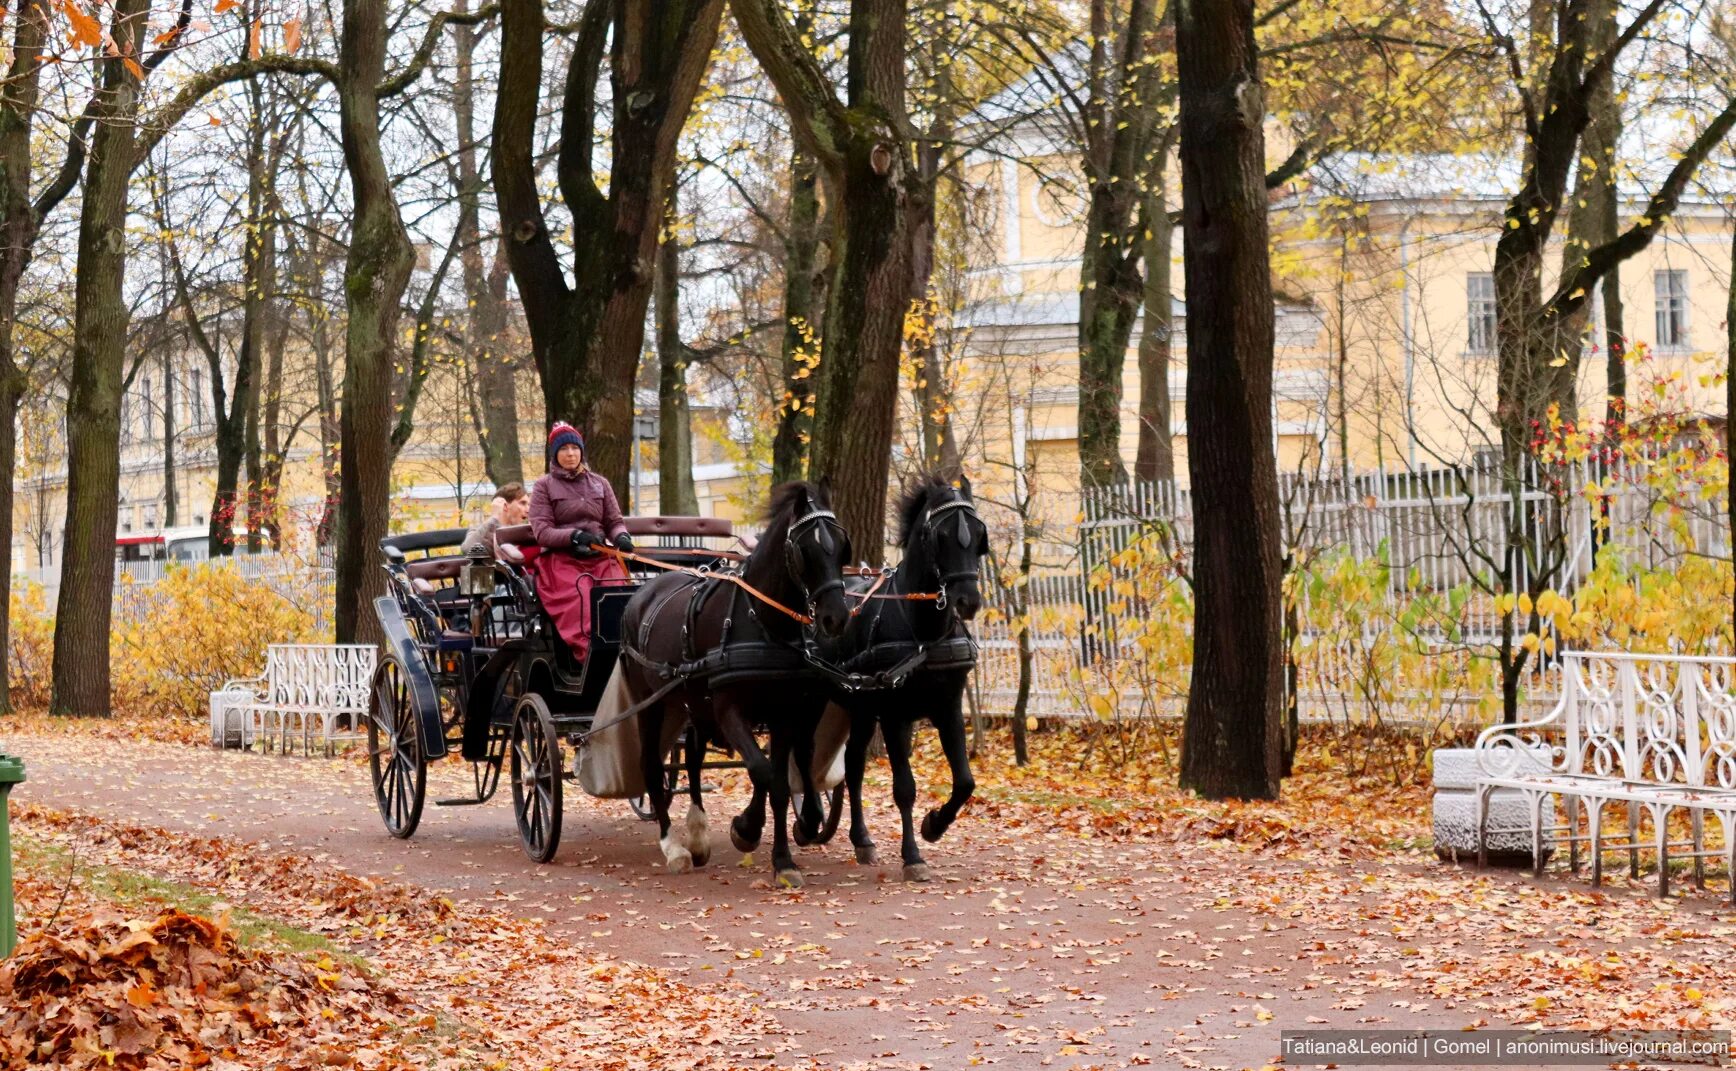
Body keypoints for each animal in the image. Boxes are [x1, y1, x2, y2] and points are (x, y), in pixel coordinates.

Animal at [621, 482, 850, 885]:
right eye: (804, 550)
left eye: (841, 545)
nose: (835, 618)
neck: (762, 622)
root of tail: (642, 592)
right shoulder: (729, 711)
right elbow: (763, 772)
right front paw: (746, 828)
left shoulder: (784, 714)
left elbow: (779, 781)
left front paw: (783, 859)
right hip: (649, 702)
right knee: (651, 765)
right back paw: (673, 848)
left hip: (693, 703)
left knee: (694, 758)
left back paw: (697, 835)